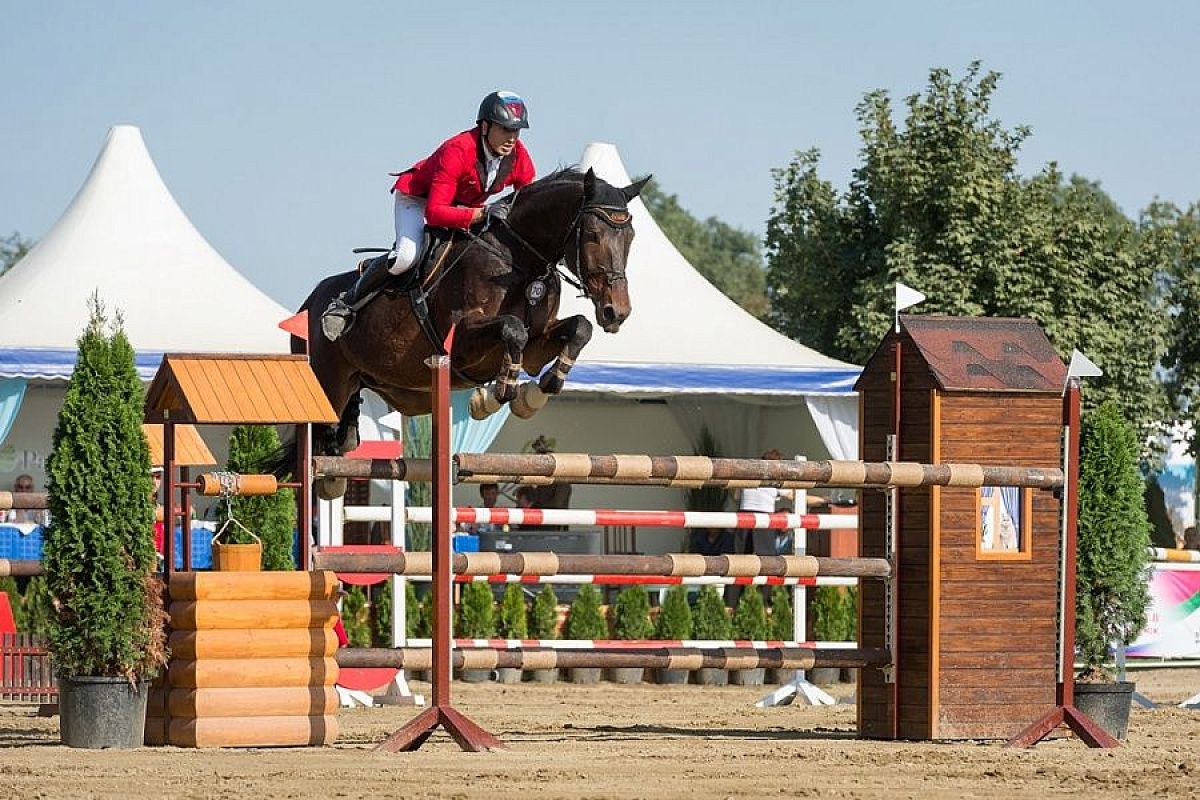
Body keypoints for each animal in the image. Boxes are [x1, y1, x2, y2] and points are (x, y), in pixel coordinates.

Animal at [291, 167, 648, 494]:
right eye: (592, 234)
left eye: (630, 236)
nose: (616, 312)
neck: (520, 260)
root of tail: (306, 305)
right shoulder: (461, 342)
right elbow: (513, 329)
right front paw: (499, 394)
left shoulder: (537, 344)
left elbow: (579, 328)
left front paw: (539, 391)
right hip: (328, 384)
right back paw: (337, 317)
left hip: (365, 383)